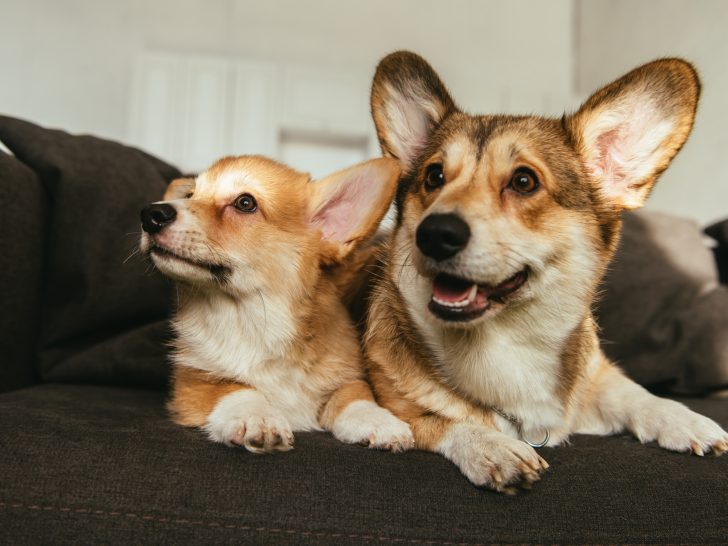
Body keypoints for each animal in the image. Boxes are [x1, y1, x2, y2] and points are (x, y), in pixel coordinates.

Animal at [141, 155, 416, 452]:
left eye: (245, 203)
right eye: (190, 195)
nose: (150, 215)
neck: (252, 320)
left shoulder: (346, 376)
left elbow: (355, 395)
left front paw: (379, 421)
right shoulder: (192, 380)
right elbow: (235, 387)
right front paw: (256, 417)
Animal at [364, 52, 728, 492]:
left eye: (524, 181)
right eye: (433, 176)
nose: (433, 234)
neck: (509, 344)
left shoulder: (599, 376)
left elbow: (635, 393)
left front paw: (684, 419)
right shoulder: (397, 404)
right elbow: (441, 420)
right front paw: (494, 446)